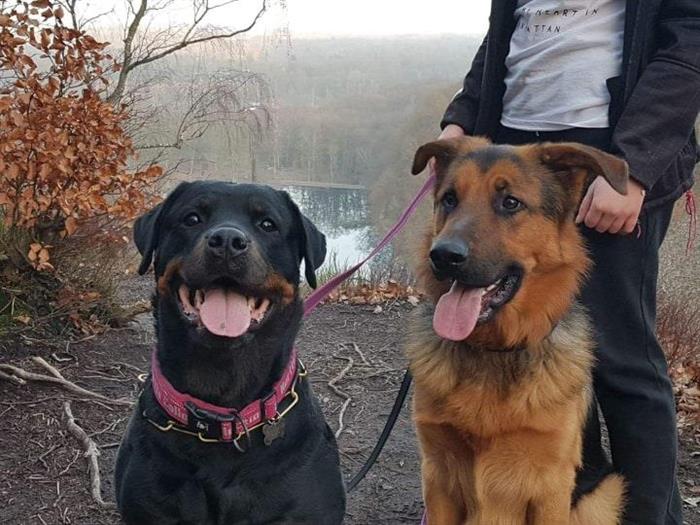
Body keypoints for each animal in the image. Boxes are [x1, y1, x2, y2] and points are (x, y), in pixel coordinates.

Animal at [406, 137, 627, 524]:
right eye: (450, 199)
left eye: (510, 202)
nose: (442, 256)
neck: (494, 350)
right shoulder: (437, 480)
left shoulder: (551, 490)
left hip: (604, 495)